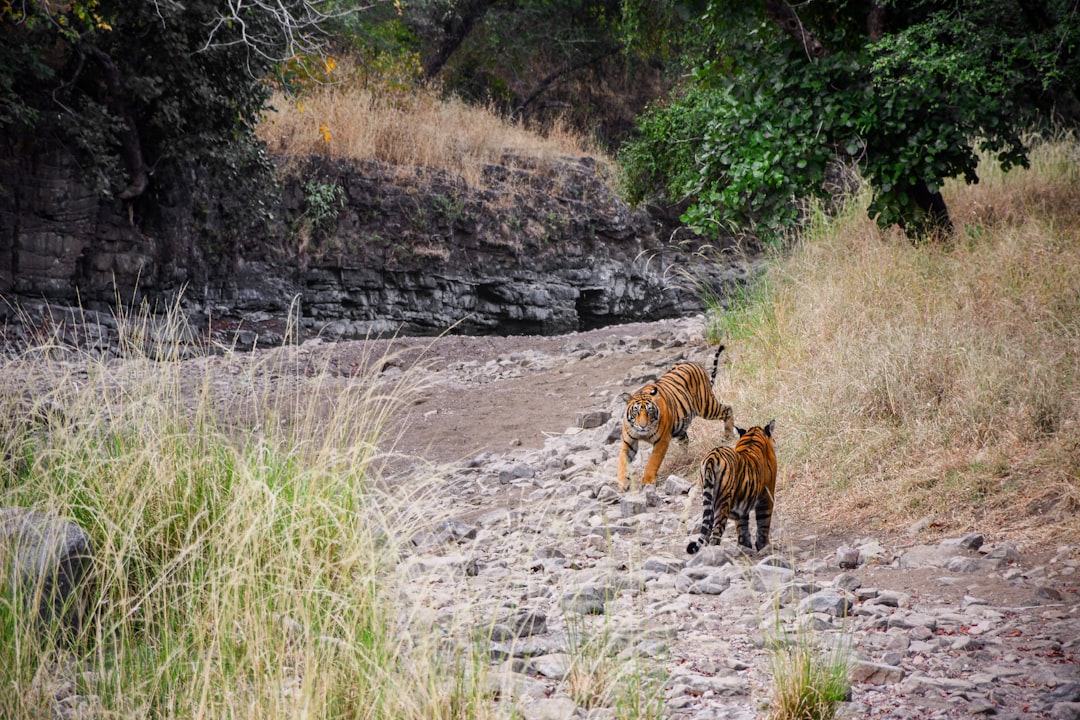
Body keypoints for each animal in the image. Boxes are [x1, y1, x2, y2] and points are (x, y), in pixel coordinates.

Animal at [617, 344, 735, 492]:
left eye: (650, 411)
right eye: (636, 412)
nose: (643, 426)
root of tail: (694, 363)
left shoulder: (662, 440)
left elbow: (652, 461)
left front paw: (648, 481)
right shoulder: (628, 442)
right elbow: (622, 462)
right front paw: (622, 482)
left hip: (707, 407)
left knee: (728, 409)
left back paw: (729, 436)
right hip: (682, 423)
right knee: (685, 440)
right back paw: (684, 457)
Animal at [686, 420, 777, 555]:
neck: (753, 435)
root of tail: (711, 457)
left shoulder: (742, 500)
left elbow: (742, 525)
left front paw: (745, 546)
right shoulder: (767, 496)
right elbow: (764, 522)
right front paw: (764, 546)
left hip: (709, 499)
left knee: (706, 531)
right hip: (723, 503)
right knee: (715, 533)